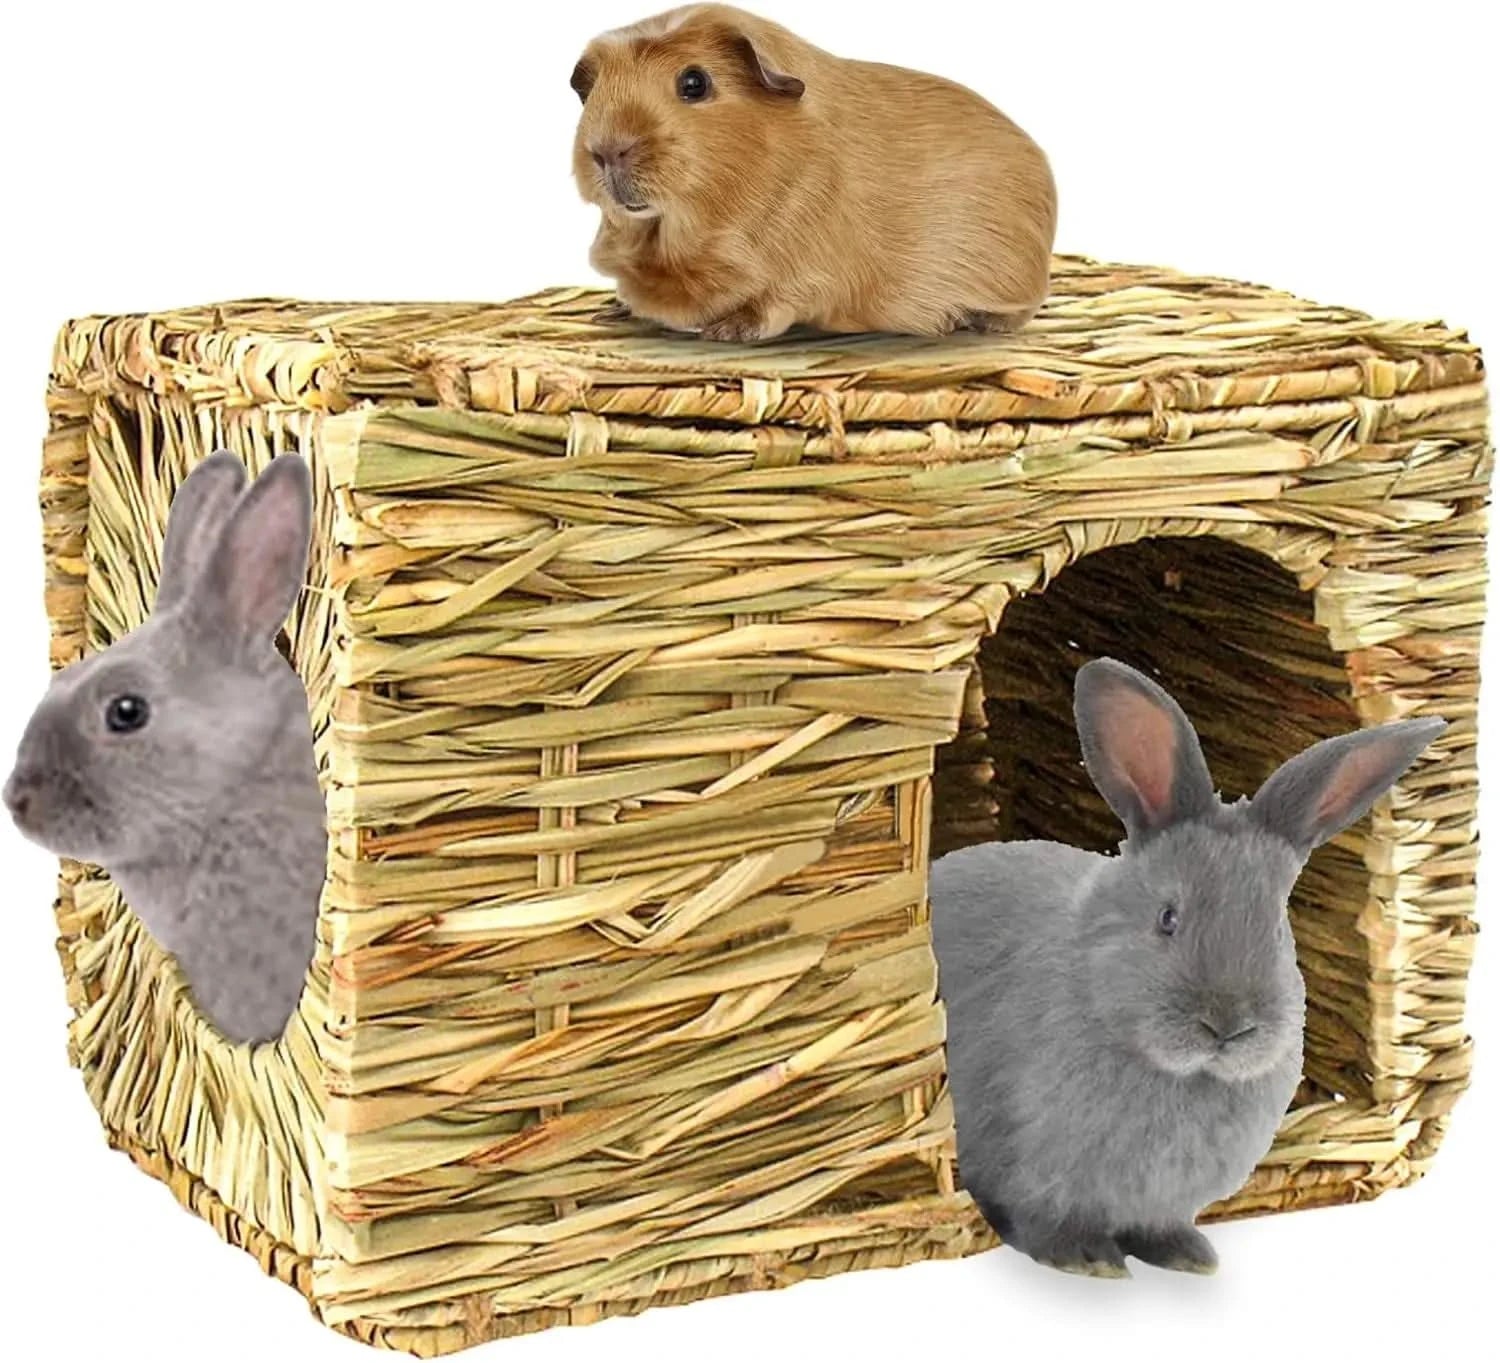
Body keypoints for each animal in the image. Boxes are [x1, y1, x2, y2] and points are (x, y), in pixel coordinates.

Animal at [570, 4, 1057, 341]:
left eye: (694, 83)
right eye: (593, 92)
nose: (607, 150)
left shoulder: (802, 278)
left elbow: (770, 306)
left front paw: (725, 331)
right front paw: (613, 310)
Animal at [930, 657, 1445, 1277]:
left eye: (1278, 927)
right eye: (1168, 919)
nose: (1228, 1027)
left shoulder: (1160, 1202)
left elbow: (1159, 1227)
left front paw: (1189, 1256)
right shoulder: (1034, 1169)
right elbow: (1046, 1220)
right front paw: (1089, 1261)